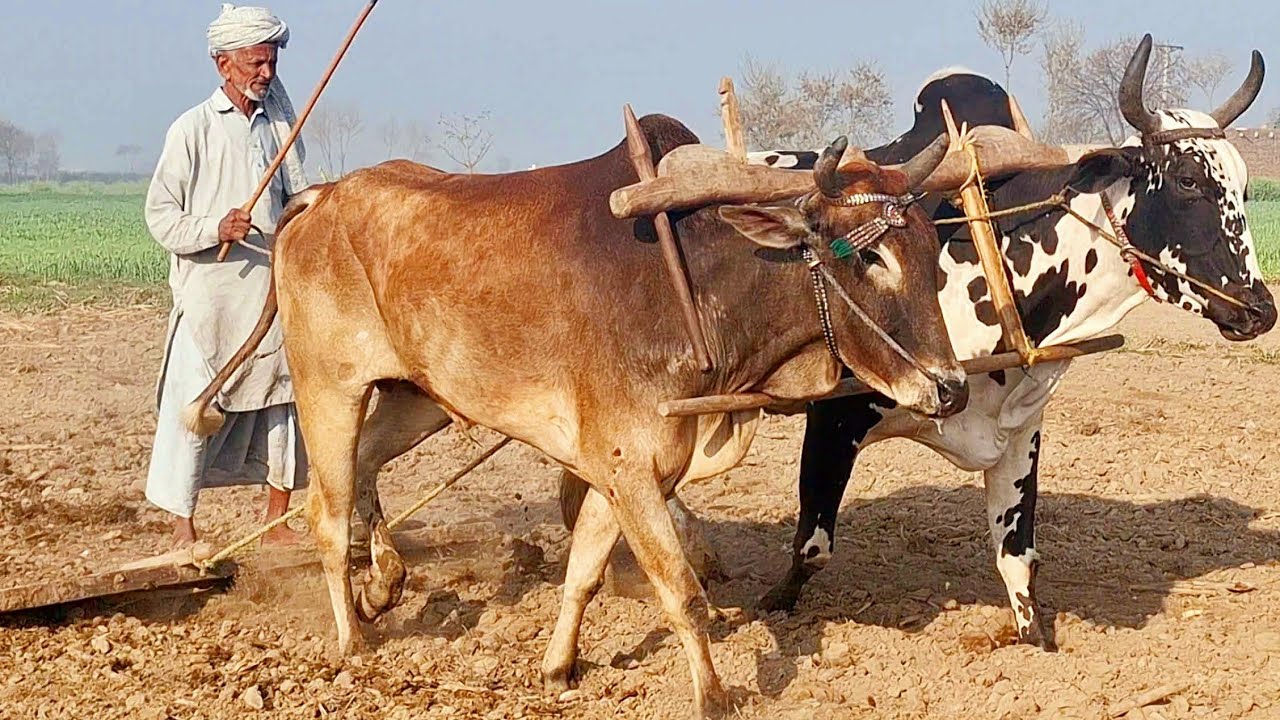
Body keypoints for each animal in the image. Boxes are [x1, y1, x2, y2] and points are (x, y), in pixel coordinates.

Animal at [180, 114, 968, 717]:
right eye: (872, 258)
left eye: (934, 248)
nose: (951, 387)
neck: (688, 287)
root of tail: (319, 196)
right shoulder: (631, 467)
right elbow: (680, 590)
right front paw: (714, 695)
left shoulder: (621, 472)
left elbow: (584, 572)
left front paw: (558, 666)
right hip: (329, 390)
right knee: (329, 507)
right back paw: (353, 638)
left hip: (417, 396)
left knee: (368, 465)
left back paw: (385, 581)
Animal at [560, 35, 1275, 653]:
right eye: (1187, 181)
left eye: (1244, 185)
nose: (1261, 310)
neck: (987, 252)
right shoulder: (836, 416)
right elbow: (811, 546)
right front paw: (772, 604)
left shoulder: (1020, 431)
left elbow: (1018, 561)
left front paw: (1032, 642)